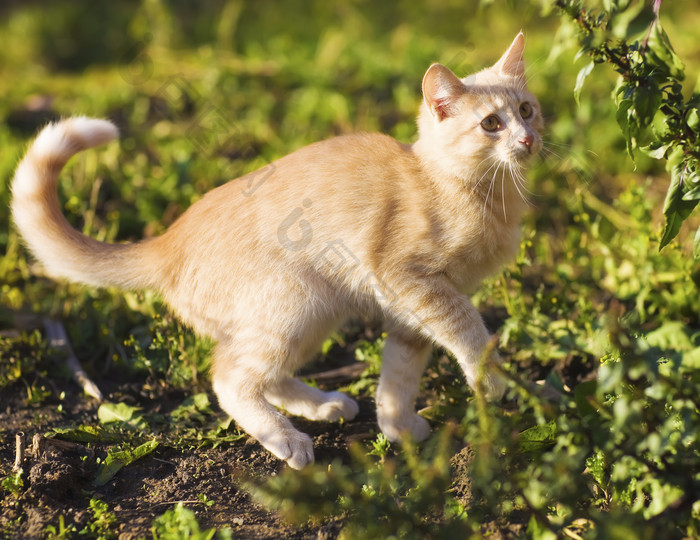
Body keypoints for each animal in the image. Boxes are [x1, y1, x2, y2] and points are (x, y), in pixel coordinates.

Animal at [13, 33, 544, 470]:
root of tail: (166, 241)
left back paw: (324, 405)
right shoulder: (413, 282)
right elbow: (470, 331)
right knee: (229, 379)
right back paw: (286, 439)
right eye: (490, 123)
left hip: (317, 313)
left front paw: (396, 427)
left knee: (264, 374)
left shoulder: (407, 310)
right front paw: (492, 379)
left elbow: (398, 372)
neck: (462, 187)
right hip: (295, 303)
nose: (528, 138)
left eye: (526, 110)